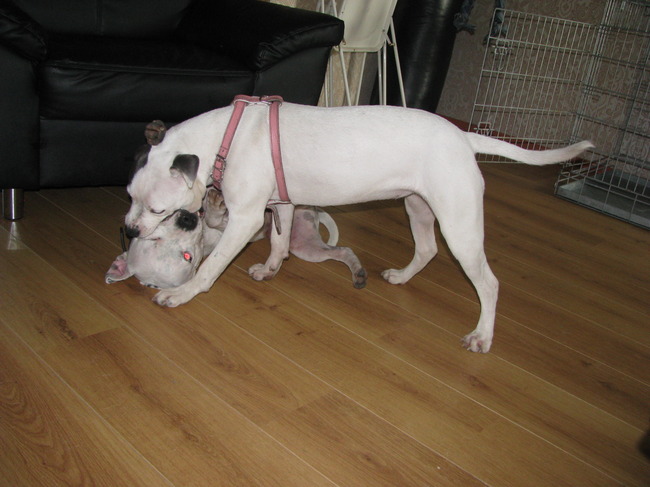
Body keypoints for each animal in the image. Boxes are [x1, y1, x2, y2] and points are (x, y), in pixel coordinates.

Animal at [109, 188, 367, 289]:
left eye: (154, 239)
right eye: (188, 258)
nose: (187, 220)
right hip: (305, 246)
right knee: (342, 251)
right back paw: (359, 274)